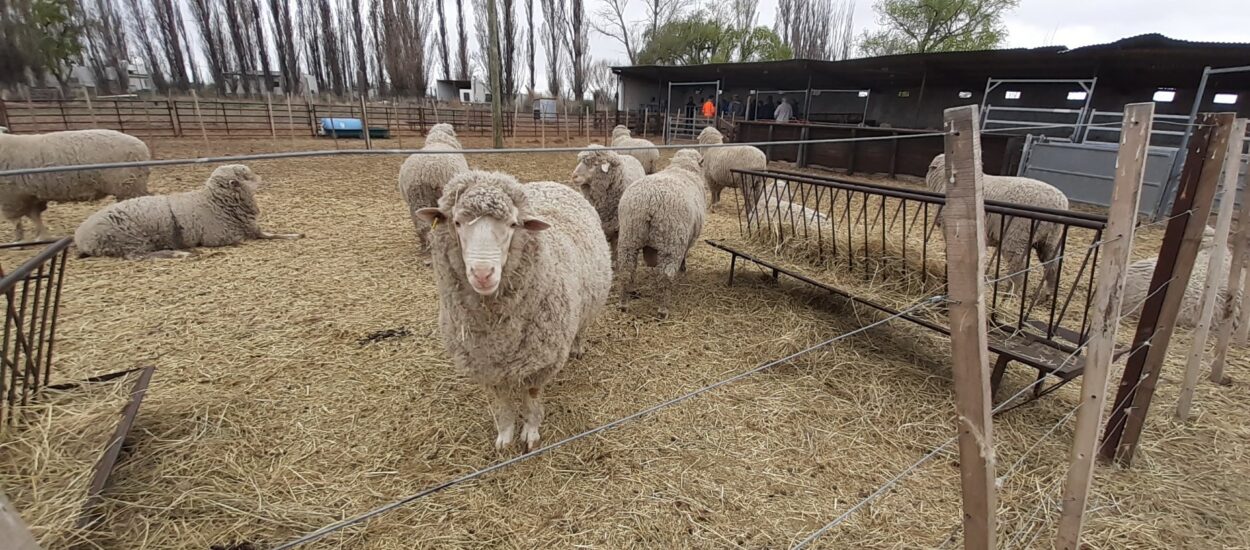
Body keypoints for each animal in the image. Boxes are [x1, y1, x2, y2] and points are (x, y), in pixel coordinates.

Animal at [0, 130, 150, 241]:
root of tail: (142, 146)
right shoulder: (29, 195)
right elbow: (34, 216)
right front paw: (41, 237)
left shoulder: (11, 196)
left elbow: (18, 221)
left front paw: (19, 240)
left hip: (128, 185)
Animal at [75, 163, 305, 260]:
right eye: (247, 176)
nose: (261, 178)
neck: (213, 202)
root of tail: (81, 236)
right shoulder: (222, 238)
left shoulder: (251, 229)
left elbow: (272, 233)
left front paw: (296, 234)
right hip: (131, 240)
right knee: (139, 257)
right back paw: (182, 253)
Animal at [415, 172, 610, 450]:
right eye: (457, 223)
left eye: (512, 225)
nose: (482, 274)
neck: (498, 335)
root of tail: (552, 183)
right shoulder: (486, 367)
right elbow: (502, 403)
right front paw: (505, 436)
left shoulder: (542, 362)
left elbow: (531, 397)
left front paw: (531, 432)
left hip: (588, 304)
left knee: (581, 328)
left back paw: (577, 348)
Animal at [617, 148, 710, 317]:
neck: (683, 168)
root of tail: (650, 199)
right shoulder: (687, 239)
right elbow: (685, 255)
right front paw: (683, 268)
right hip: (671, 242)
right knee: (666, 276)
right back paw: (663, 310)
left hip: (629, 237)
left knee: (627, 272)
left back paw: (623, 304)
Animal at [925, 153, 1070, 301]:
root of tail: (1060, 203)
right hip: (1049, 240)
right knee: (1053, 265)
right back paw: (1047, 294)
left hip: (1017, 237)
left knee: (1019, 267)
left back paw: (1010, 294)